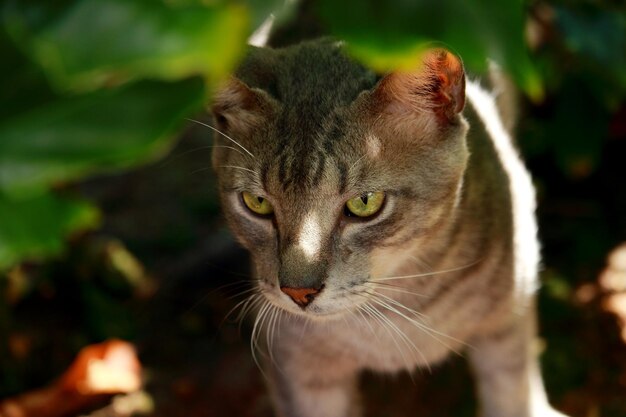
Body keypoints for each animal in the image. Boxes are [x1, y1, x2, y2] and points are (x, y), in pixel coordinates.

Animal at [207, 39, 564, 416]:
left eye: (364, 203)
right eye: (256, 203)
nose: (298, 293)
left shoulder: (508, 320)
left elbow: (512, 391)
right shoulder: (296, 370)